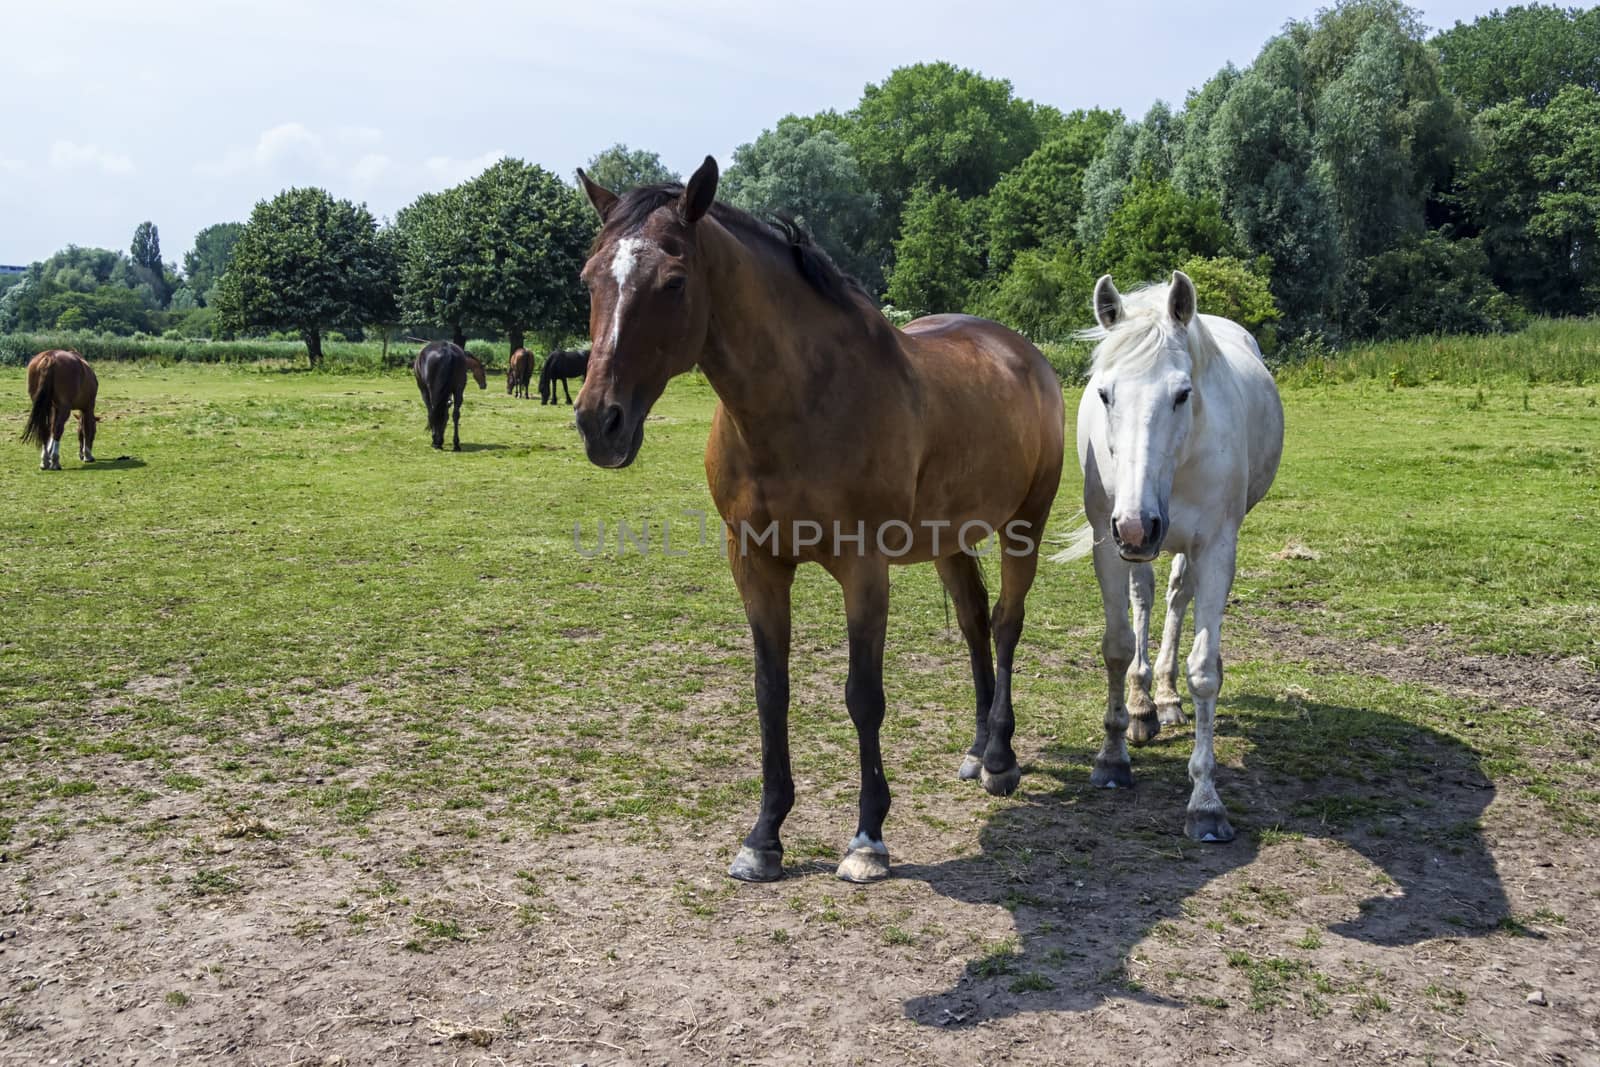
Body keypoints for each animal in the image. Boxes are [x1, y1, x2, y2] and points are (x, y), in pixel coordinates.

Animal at [572, 154, 1062, 883]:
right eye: (590, 278)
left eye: (674, 281)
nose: (599, 423)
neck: (802, 404)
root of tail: (1020, 352)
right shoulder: (755, 563)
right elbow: (770, 691)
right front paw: (764, 836)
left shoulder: (864, 568)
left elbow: (863, 695)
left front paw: (867, 838)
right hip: (950, 541)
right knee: (976, 623)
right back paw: (977, 751)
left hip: (1023, 525)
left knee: (1005, 624)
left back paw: (1000, 758)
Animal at [1062, 273, 1286, 844]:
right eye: (1104, 393)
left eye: (1183, 394)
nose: (1138, 525)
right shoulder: (1110, 542)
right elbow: (1117, 646)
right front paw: (1113, 756)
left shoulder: (1216, 549)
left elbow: (1203, 669)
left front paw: (1206, 803)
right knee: (1145, 598)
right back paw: (1144, 705)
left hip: (1181, 544)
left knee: (1177, 598)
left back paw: (1164, 696)